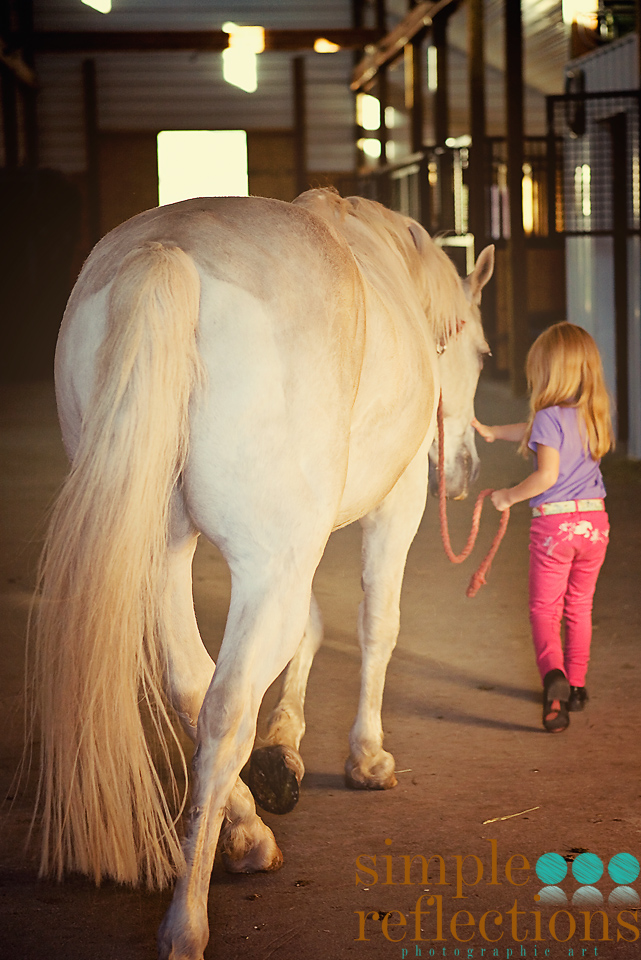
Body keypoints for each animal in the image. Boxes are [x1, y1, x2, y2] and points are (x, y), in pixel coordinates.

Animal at [32, 188, 492, 960]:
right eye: (483, 354)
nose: (462, 472)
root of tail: (168, 253)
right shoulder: (391, 507)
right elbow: (376, 624)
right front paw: (366, 758)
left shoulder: (297, 548)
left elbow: (310, 630)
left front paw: (285, 746)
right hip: (271, 565)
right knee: (224, 708)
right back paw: (189, 918)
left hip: (172, 553)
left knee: (195, 685)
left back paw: (246, 833)